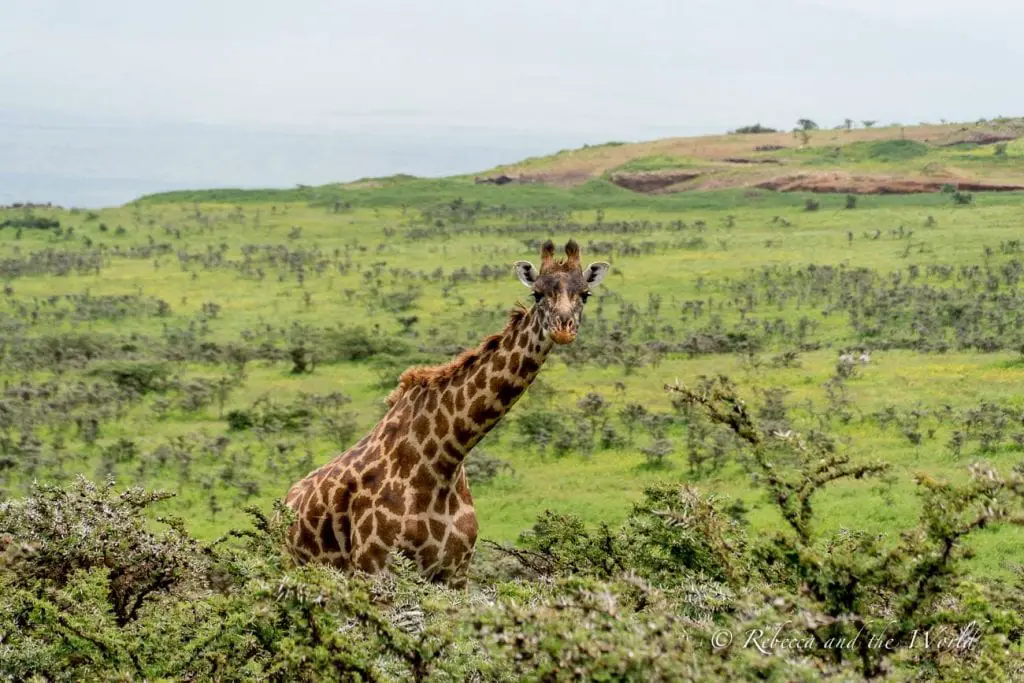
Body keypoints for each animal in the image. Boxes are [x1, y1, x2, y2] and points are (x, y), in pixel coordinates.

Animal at [282, 237, 606, 585]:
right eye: (537, 293)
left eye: (585, 294)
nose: (563, 328)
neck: (444, 460)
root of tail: (285, 502)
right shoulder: (375, 565)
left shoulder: (455, 572)